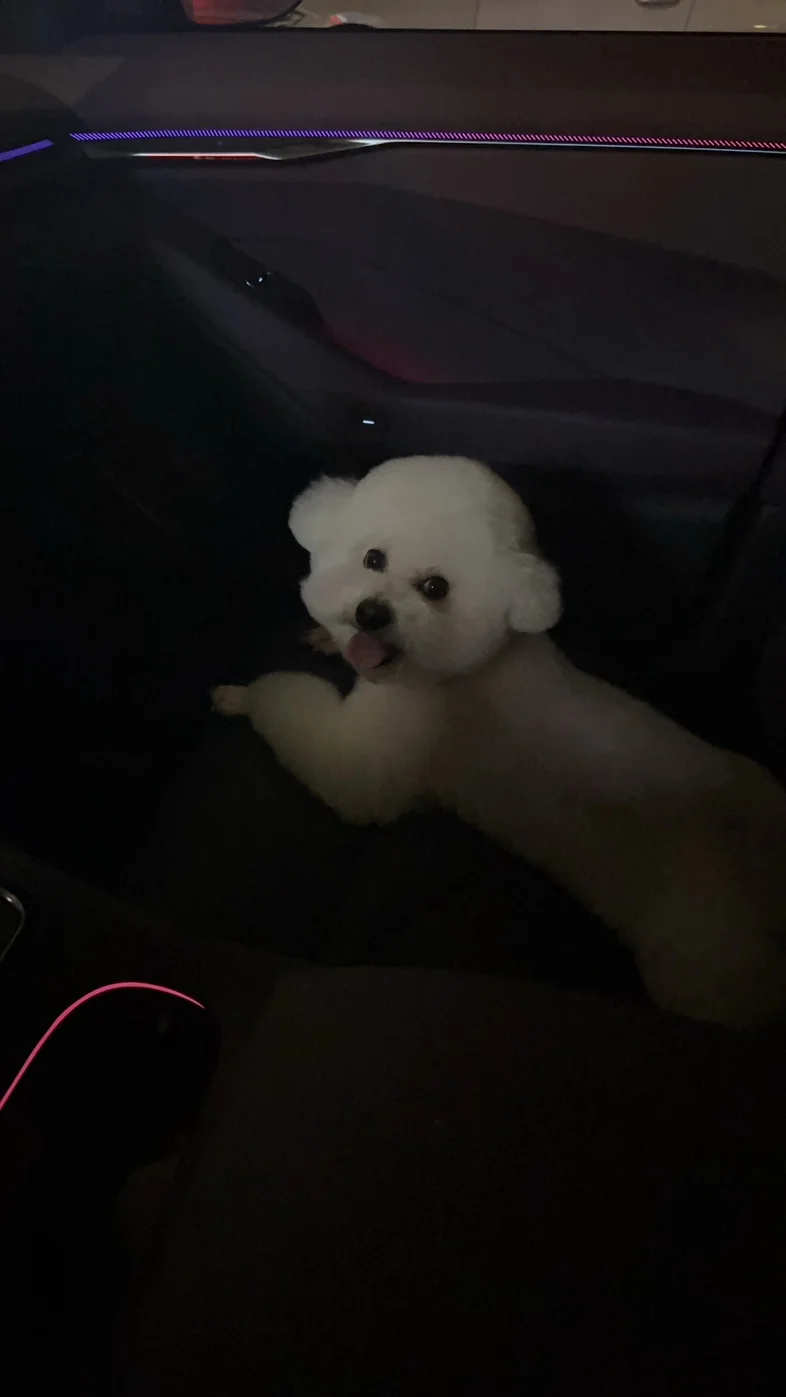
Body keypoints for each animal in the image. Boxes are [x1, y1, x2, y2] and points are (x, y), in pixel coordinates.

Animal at [213, 454, 786, 1028]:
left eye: (436, 588)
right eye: (373, 558)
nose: (371, 613)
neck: (474, 663)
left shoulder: (374, 761)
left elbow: (309, 733)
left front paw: (242, 696)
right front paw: (328, 639)